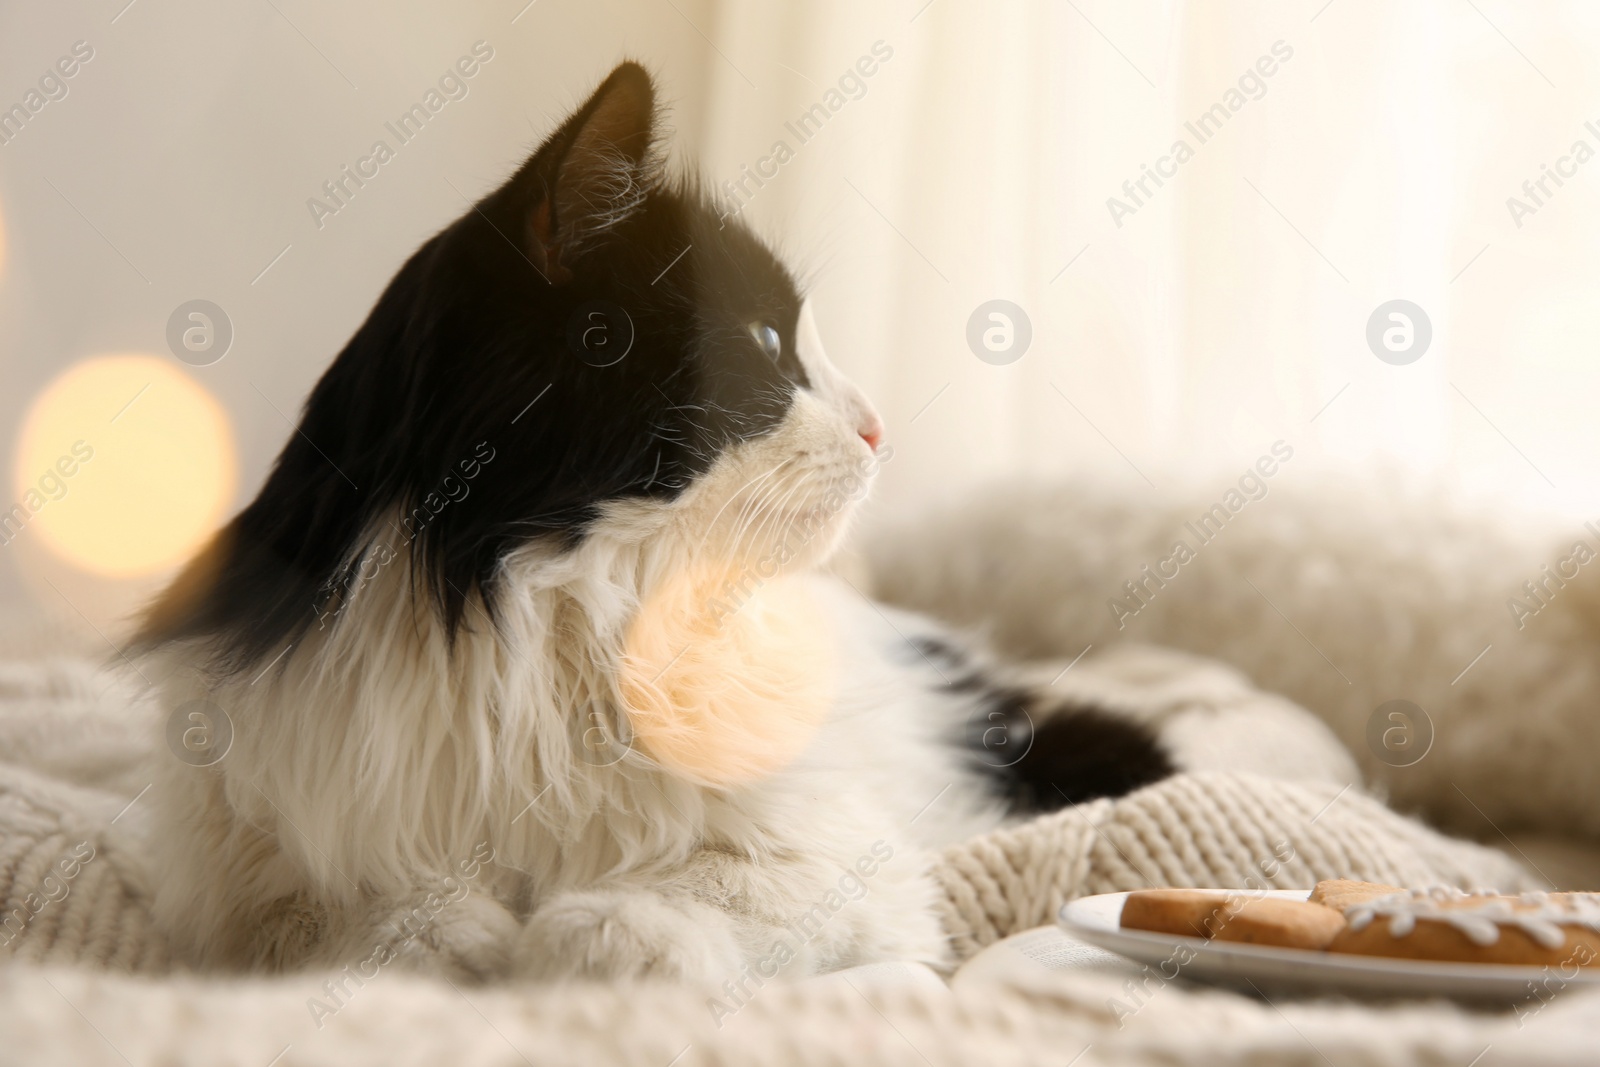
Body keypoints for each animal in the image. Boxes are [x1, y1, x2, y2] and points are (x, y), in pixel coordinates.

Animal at [128, 60, 1177, 985]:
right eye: (767, 341)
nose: (880, 428)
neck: (548, 620)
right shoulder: (246, 858)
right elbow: (376, 915)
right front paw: (455, 946)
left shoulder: (839, 857)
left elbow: (691, 890)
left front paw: (591, 944)